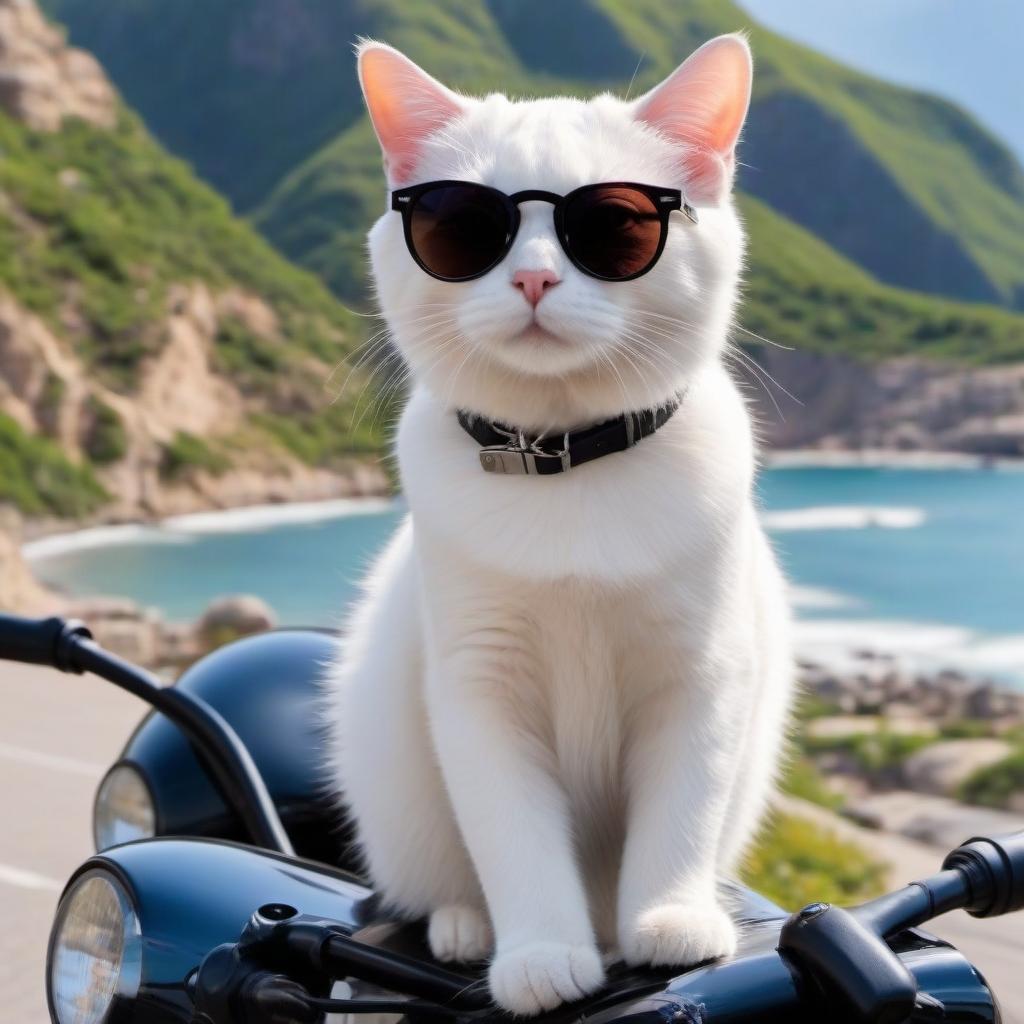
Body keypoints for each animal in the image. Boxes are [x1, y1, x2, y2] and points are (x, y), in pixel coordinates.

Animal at [323, 32, 794, 1015]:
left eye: (614, 226)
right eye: (462, 226)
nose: (534, 276)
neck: (566, 463)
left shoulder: (702, 673)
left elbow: (681, 813)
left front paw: (667, 920)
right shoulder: (479, 685)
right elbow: (514, 838)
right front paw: (540, 954)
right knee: (446, 879)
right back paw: (466, 927)